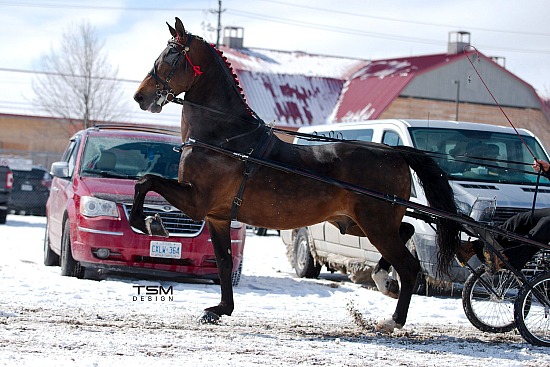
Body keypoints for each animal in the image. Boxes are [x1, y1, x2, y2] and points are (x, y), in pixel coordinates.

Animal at [132, 18, 464, 334]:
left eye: (170, 55)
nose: (140, 97)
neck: (224, 138)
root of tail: (394, 152)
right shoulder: (217, 216)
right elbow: (224, 262)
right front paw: (220, 309)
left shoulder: (196, 201)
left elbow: (146, 180)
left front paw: (148, 222)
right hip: (359, 224)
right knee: (406, 230)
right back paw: (384, 280)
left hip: (376, 225)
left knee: (409, 266)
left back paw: (392, 319)